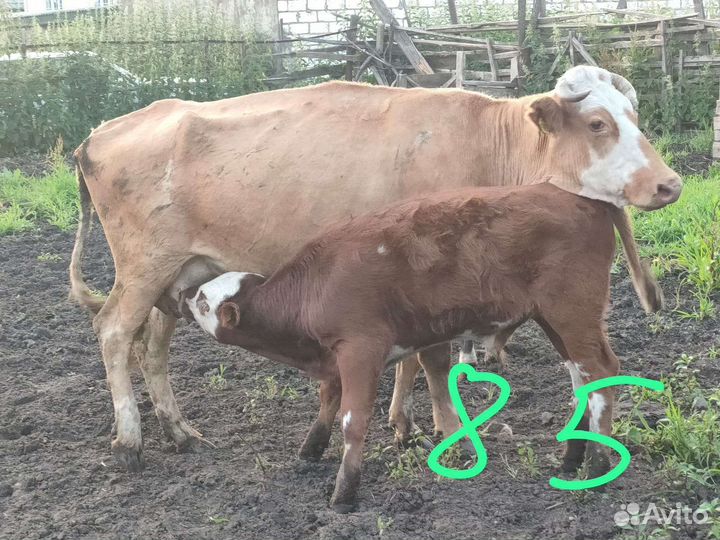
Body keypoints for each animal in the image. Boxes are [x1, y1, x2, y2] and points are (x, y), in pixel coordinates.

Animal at [69, 65, 681, 472]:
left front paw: (402, 423)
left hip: (180, 275)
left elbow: (409, 358)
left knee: (153, 346)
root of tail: (99, 133)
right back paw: (130, 439)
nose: (669, 184)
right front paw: (445, 432)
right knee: (115, 332)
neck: (485, 143)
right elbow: (432, 360)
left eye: (633, 116)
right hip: (144, 268)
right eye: (598, 123)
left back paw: (180, 432)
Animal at [180, 183, 626, 511]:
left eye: (204, 300)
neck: (313, 287)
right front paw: (311, 448)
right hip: (555, 321)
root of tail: (578, 198)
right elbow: (328, 400)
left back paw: (596, 469)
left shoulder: (361, 349)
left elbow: (353, 420)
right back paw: (572, 458)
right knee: (582, 380)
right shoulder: (336, 356)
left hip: (572, 312)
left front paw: (344, 492)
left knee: (602, 374)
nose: (184, 293)